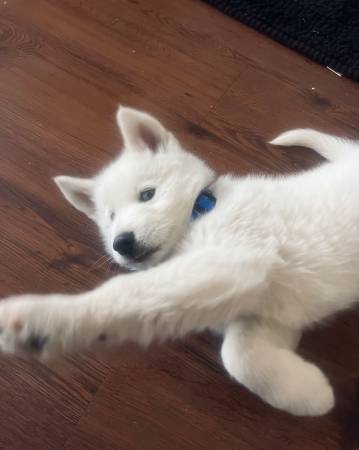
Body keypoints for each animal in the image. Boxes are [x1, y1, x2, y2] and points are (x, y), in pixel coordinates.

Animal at [0, 107, 359, 416]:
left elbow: (128, 293)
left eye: (147, 194)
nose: (121, 242)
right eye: (110, 218)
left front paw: (43, 320)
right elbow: (239, 355)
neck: (200, 211)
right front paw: (310, 393)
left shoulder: (237, 259)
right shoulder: (266, 308)